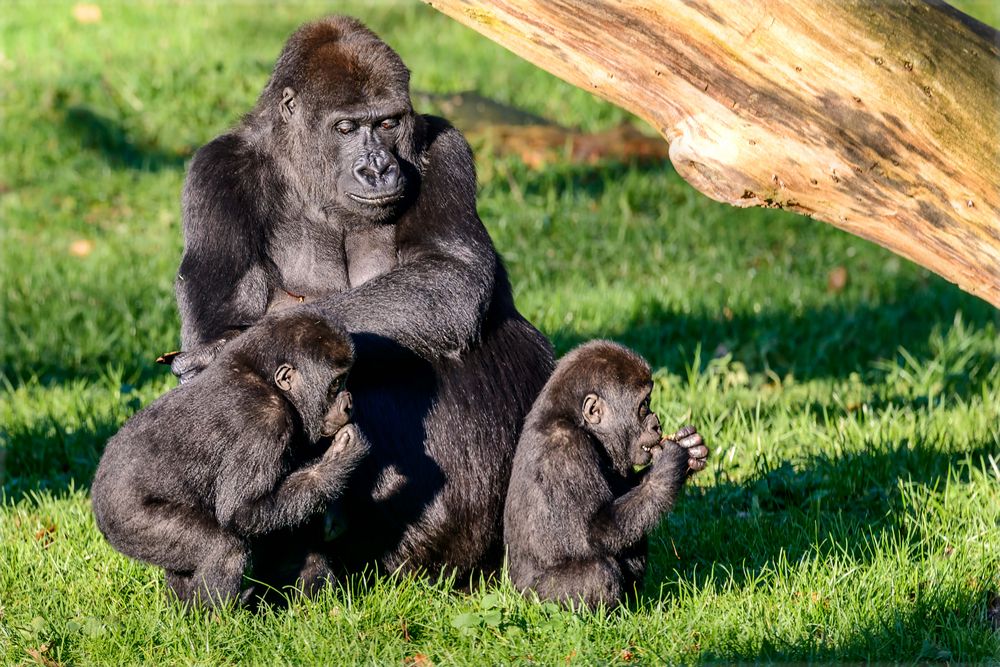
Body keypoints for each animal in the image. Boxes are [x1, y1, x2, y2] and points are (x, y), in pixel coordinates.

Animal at [91, 310, 368, 608]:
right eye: (336, 384)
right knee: (225, 548)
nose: (348, 403)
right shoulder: (265, 423)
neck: (268, 382)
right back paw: (213, 616)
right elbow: (241, 510)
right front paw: (339, 460)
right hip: (127, 519)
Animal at [170, 17, 556, 584]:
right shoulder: (214, 172)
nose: (377, 170)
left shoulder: (446, 149)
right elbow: (218, 321)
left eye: (389, 123)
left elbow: (452, 275)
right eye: (347, 128)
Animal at [504, 344, 708, 612]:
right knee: (598, 573)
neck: (577, 421)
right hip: (535, 599)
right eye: (644, 405)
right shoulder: (567, 449)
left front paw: (691, 451)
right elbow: (594, 530)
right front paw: (669, 466)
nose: (657, 424)